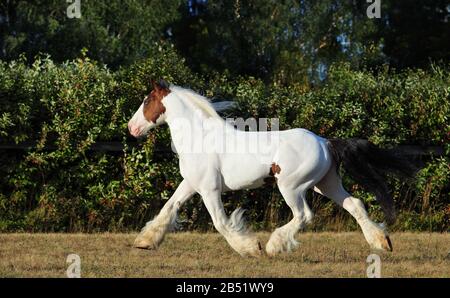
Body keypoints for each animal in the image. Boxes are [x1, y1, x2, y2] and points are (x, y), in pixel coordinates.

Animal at [126, 79, 418, 256]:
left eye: (146, 101)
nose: (131, 128)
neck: (200, 138)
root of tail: (324, 142)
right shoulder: (190, 184)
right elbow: (168, 209)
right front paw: (144, 242)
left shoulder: (209, 190)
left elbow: (221, 222)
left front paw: (250, 248)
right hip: (326, 184)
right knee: (355, 204)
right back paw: (382, 243)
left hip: (292, 187)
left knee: (304, 215)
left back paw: (273, 246)